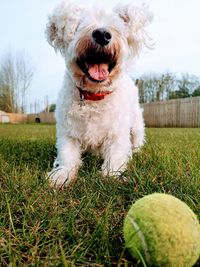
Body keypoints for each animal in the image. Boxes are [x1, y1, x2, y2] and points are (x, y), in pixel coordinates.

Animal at [45, 0, 152, 188]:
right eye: (79, 25)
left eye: (116, 25)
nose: (102, 34)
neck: (94, 96)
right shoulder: (68, 132)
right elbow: (67, 155)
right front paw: (62, 175)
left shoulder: (117, 134)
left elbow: (115, 156)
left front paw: (111, 176)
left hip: (137, 127)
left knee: (137, 141)